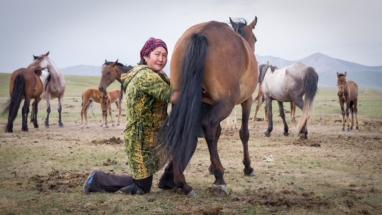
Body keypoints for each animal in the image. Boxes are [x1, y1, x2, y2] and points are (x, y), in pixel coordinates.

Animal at [154, 17, 258, 197]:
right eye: (256, 39)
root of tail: (201, 32)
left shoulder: (210, 104)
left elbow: (217, 134)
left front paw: (211, 166)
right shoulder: (247, 100)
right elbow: (243, 133)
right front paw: (247, 167)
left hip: (179, 100)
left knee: (179, 130)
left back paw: (181, 183)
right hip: (226, 103)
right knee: (208, 125)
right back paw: (219, 178)